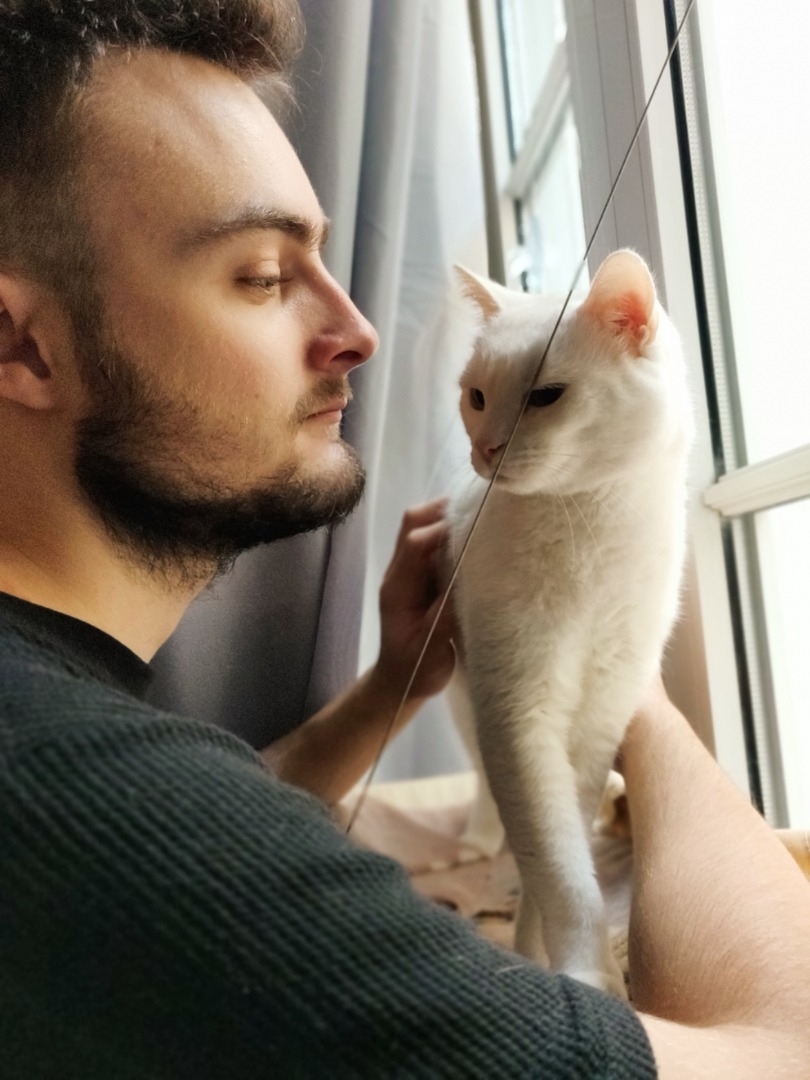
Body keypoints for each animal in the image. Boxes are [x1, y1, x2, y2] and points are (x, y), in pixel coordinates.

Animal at [445, 249, 693, 999]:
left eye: (546, 396)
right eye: (476, 396)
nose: (486, 448)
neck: (588, 526)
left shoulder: (600, 715)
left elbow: (559, 848)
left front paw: (535, 951)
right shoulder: (515, 706)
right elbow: (554, 860)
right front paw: (586, 972)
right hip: (464, 698)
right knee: (480, 779)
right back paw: (474, 840)